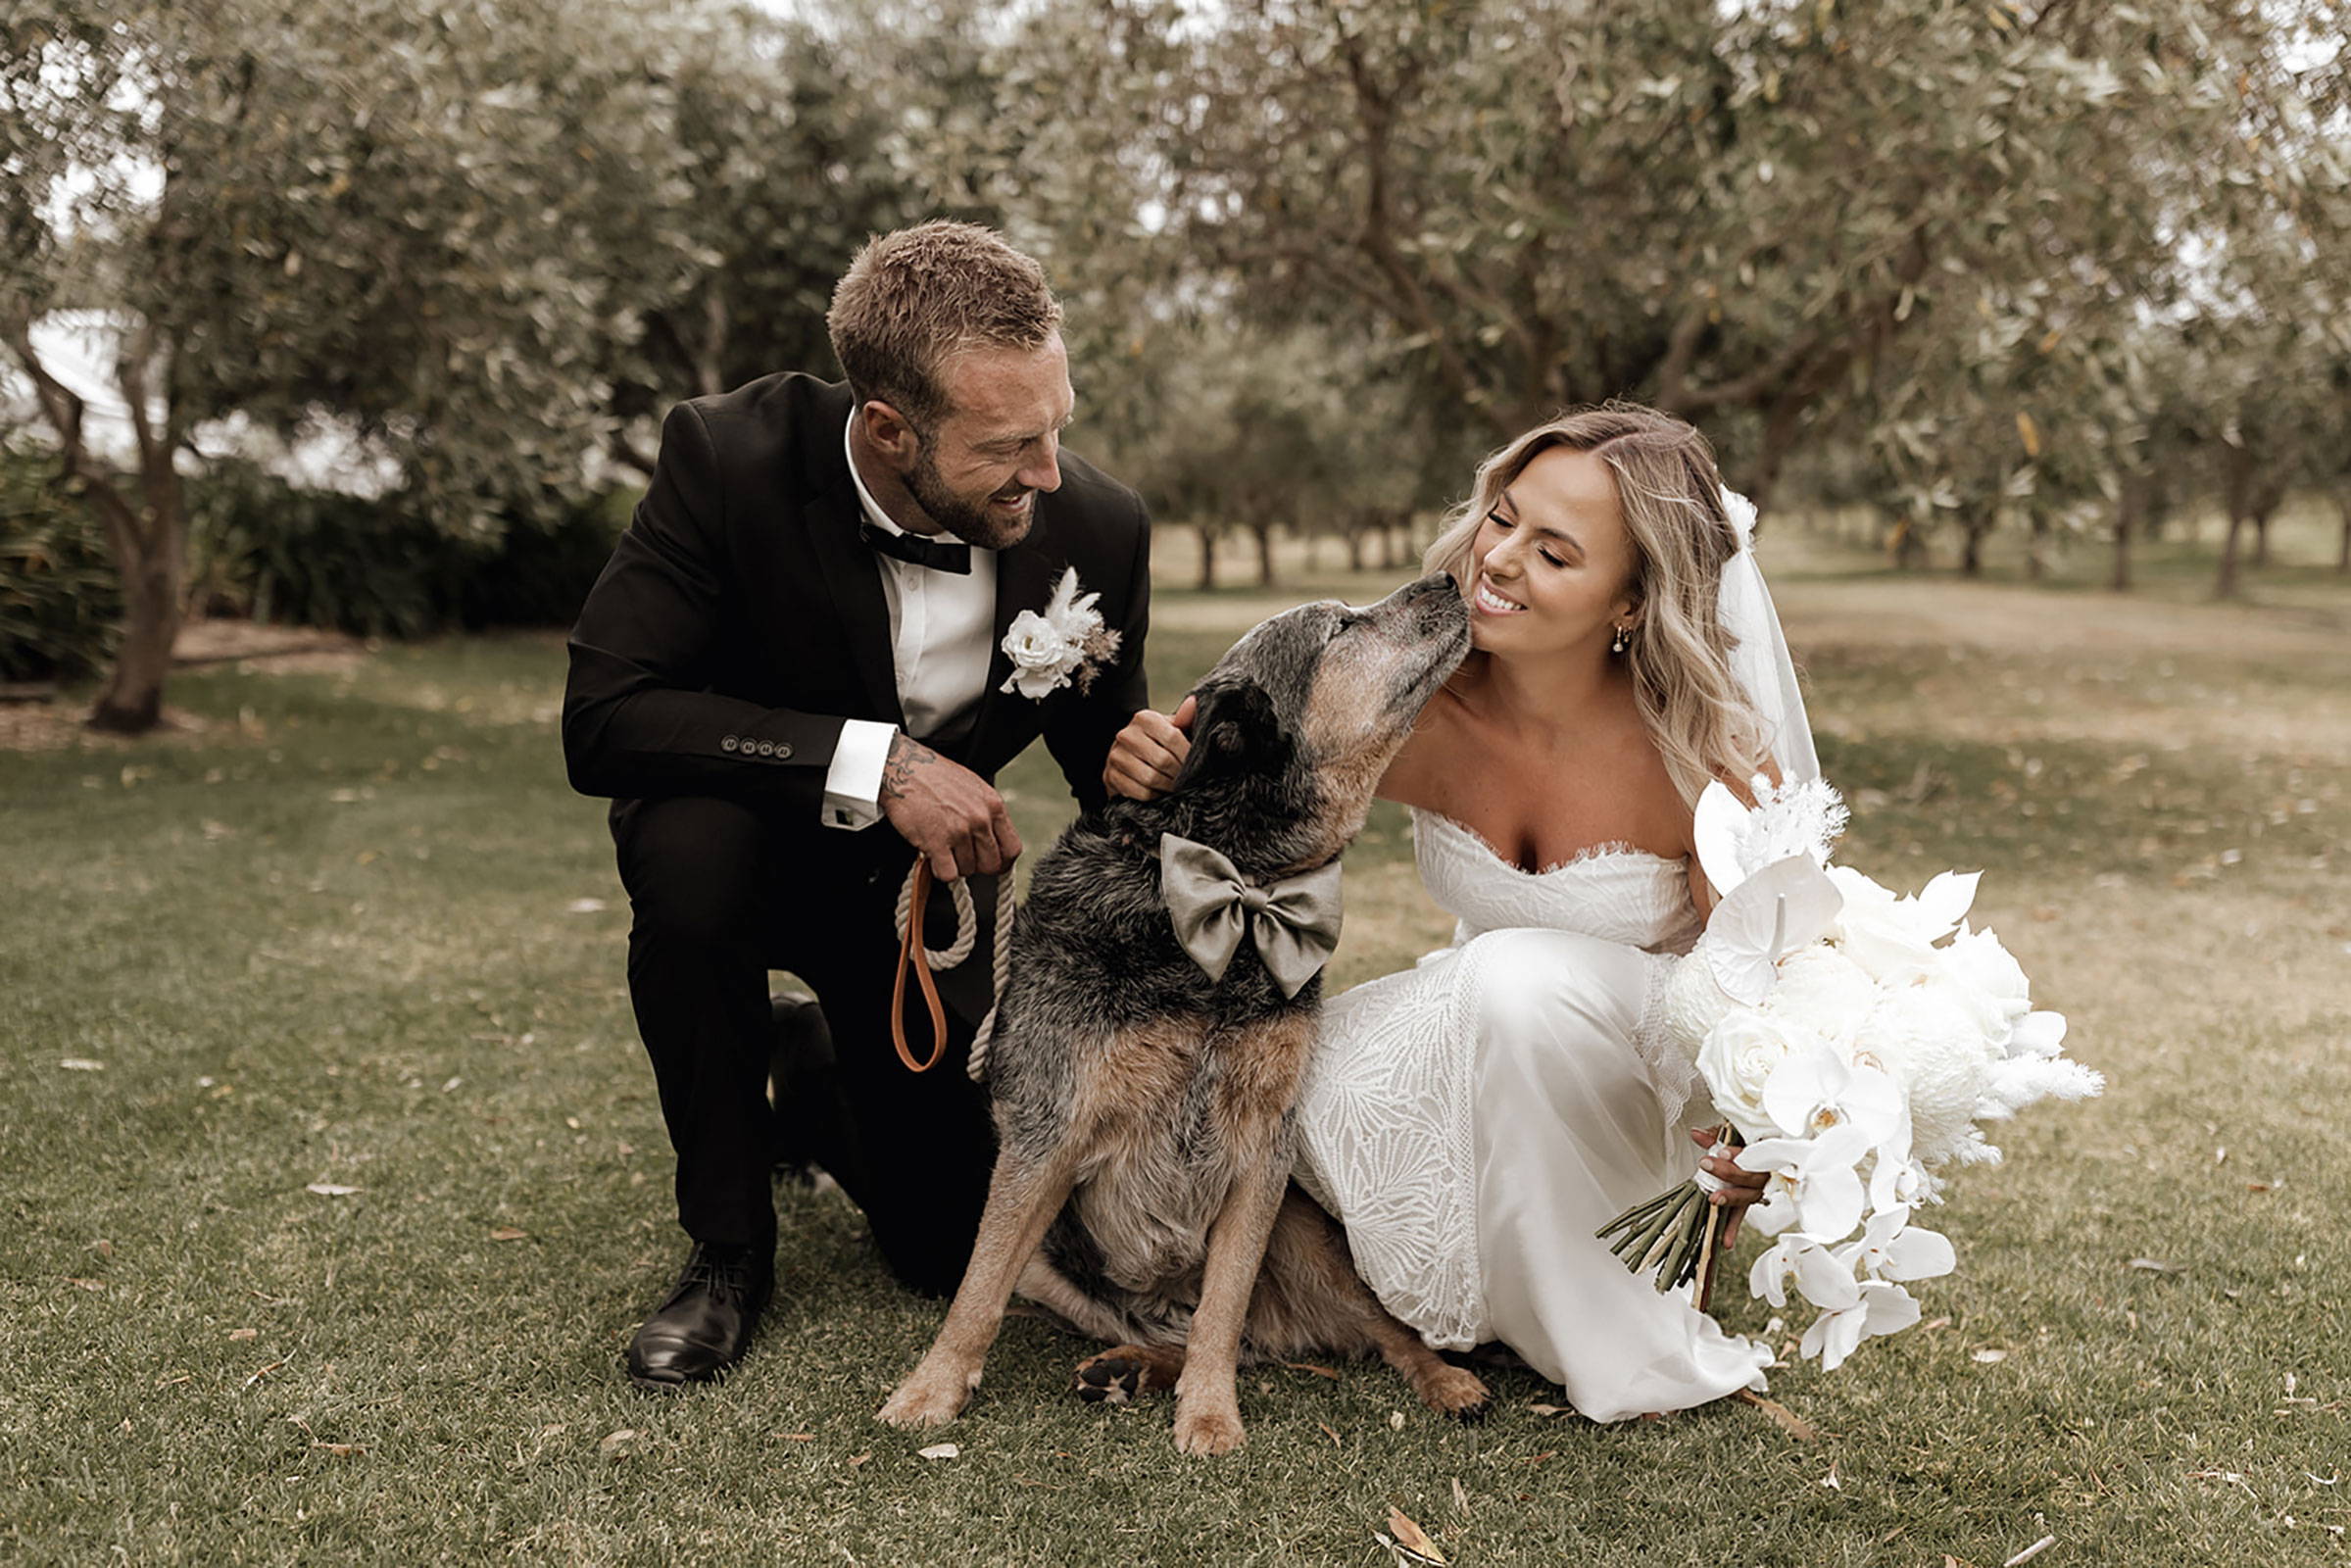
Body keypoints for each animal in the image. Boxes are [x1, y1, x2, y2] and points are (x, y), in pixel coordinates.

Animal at [884, 575, 1486, 1457]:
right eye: (1340, 628)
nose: (1443, 578)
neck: (1229, 889)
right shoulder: (1045, 1133)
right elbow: (977, 1288)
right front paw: (930, 1391)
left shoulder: (1264, 1146)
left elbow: (1221, 1310)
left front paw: (1208, 1414)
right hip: (1052, 1256)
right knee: (1147, 1321)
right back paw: (1127, 1365)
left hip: (1303, 1232)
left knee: (1368, 1330)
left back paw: (1444, 1380)